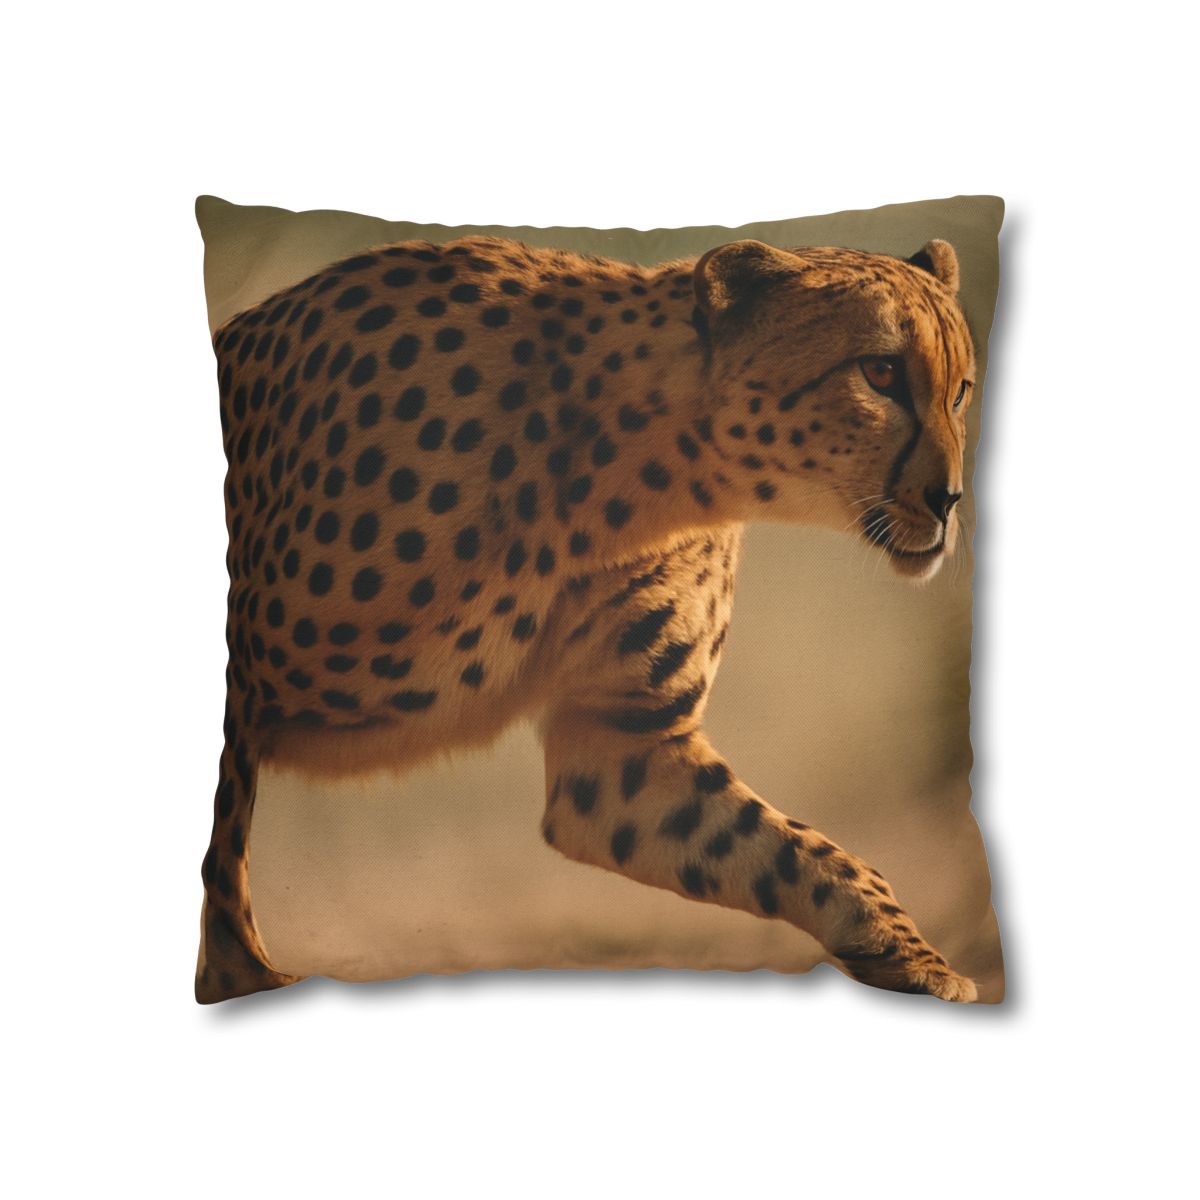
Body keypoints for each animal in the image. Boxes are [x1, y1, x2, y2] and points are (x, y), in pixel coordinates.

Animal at [198, 232, 978, 1004]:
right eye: (879, 372)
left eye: (961, 390)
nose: (949, 500)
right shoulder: (238, 681)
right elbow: (222, 856)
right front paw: (243, 977)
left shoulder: (621, 747)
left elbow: (801, 851)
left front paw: (912, 956)